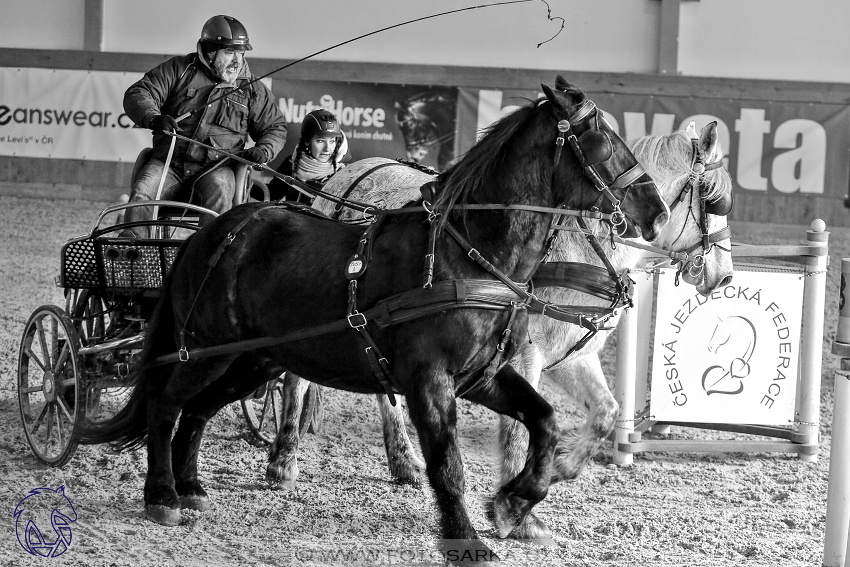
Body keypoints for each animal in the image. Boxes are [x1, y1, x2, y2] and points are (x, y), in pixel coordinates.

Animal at [78, 77, 668, 564]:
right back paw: (162, 495)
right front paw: (466, 541)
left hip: (252, 362)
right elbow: (447, 464)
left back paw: (193, 487)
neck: (465, 253)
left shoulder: (483, 375)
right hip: (206, 350)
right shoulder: (430, 380)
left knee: (198, 410)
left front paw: (512, 505)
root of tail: (209, 232)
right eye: (603, 140)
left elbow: (544, 422)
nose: (656, 211)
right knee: (167, 403)